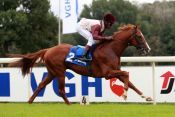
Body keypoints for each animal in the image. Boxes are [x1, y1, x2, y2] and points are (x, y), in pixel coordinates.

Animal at [8, 23, 152, 104]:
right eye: (139, 36)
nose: (148, 49)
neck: (111, 49)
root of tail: (48, 50)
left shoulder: (116, 72)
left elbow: (130, 82)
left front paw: (146, 97)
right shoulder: (107, 73)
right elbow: (127, 73)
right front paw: (125, 94)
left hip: (51, 72)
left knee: (40, 86)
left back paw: (29, 102)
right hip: (59, 72)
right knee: (61, 90)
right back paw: (70, 105)